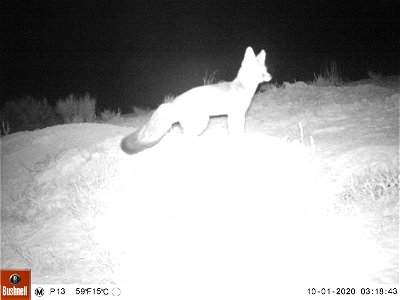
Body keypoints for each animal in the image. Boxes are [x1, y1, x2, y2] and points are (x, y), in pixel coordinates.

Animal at [121, 47, 272, 155]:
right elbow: (237, 133)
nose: (270, 76)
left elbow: (235, 132)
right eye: (261, 73)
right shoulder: (237, 115)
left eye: (265, 70)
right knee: (185, 140)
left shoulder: (234, 115)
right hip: (202, 123)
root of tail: (173, 102)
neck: (241, 87)